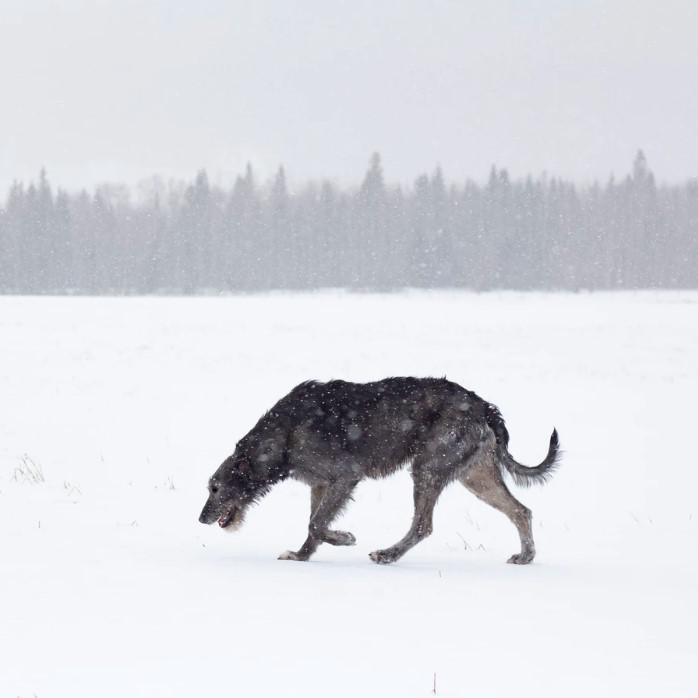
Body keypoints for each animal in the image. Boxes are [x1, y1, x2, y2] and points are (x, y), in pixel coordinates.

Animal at [198, 378, 556, 564]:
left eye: (215, 487)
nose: (201, 519)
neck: (283, 434)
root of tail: (484, 407)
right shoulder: (319, 484)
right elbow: (313, 523)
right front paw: (302, 555)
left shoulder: (344, 477)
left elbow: (316, 523)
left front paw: (344, 538)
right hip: (475, 475)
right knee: (520, 510)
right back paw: (526, 556)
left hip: (428, 467)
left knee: (423, 525)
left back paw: (388, 554)